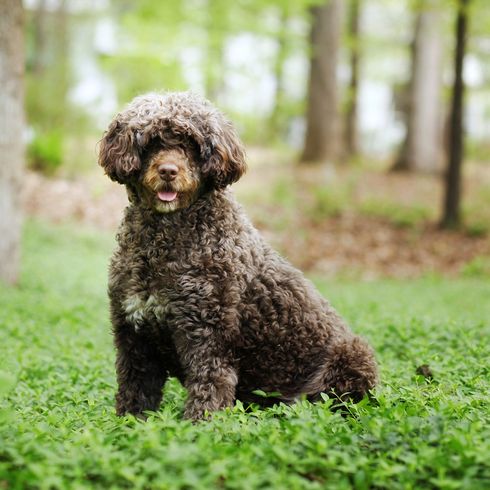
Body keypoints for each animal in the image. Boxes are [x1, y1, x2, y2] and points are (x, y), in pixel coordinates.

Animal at [97, 92, 378, 422]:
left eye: (190, 143)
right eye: (152, 141)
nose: (168, 171)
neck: (164, 239)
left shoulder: (208, 338)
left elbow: (209, 389)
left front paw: (199, 426)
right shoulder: (134, 336)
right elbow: (135, 391)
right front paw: (127, 423)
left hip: (352, 355)